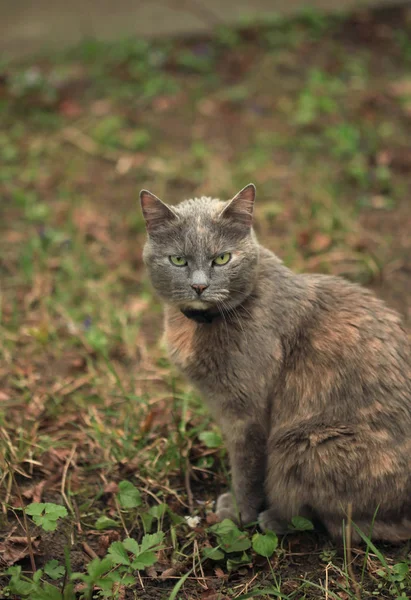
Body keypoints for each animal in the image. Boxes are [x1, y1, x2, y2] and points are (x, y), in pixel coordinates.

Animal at [139, 184, 411, 544]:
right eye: (178, 259)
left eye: (222, 258)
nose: (199, 286)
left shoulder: (248, 414)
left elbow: (247, 470)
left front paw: (239, 515)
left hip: (299, 446)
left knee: (348, 524)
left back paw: (274, 519)